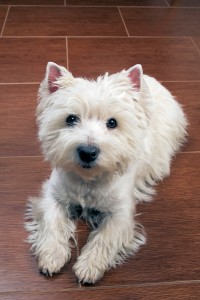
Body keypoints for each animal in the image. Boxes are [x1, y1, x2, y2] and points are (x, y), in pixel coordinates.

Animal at [24, 61, 186, 284]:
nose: (87, 152)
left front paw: (88, 267)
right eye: (71, 119)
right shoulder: (53, 196)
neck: (88, 180)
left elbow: (106, 236)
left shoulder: (121, 212)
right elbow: (52, 222)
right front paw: (51, 256)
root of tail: (151, 79)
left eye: (112, 122)